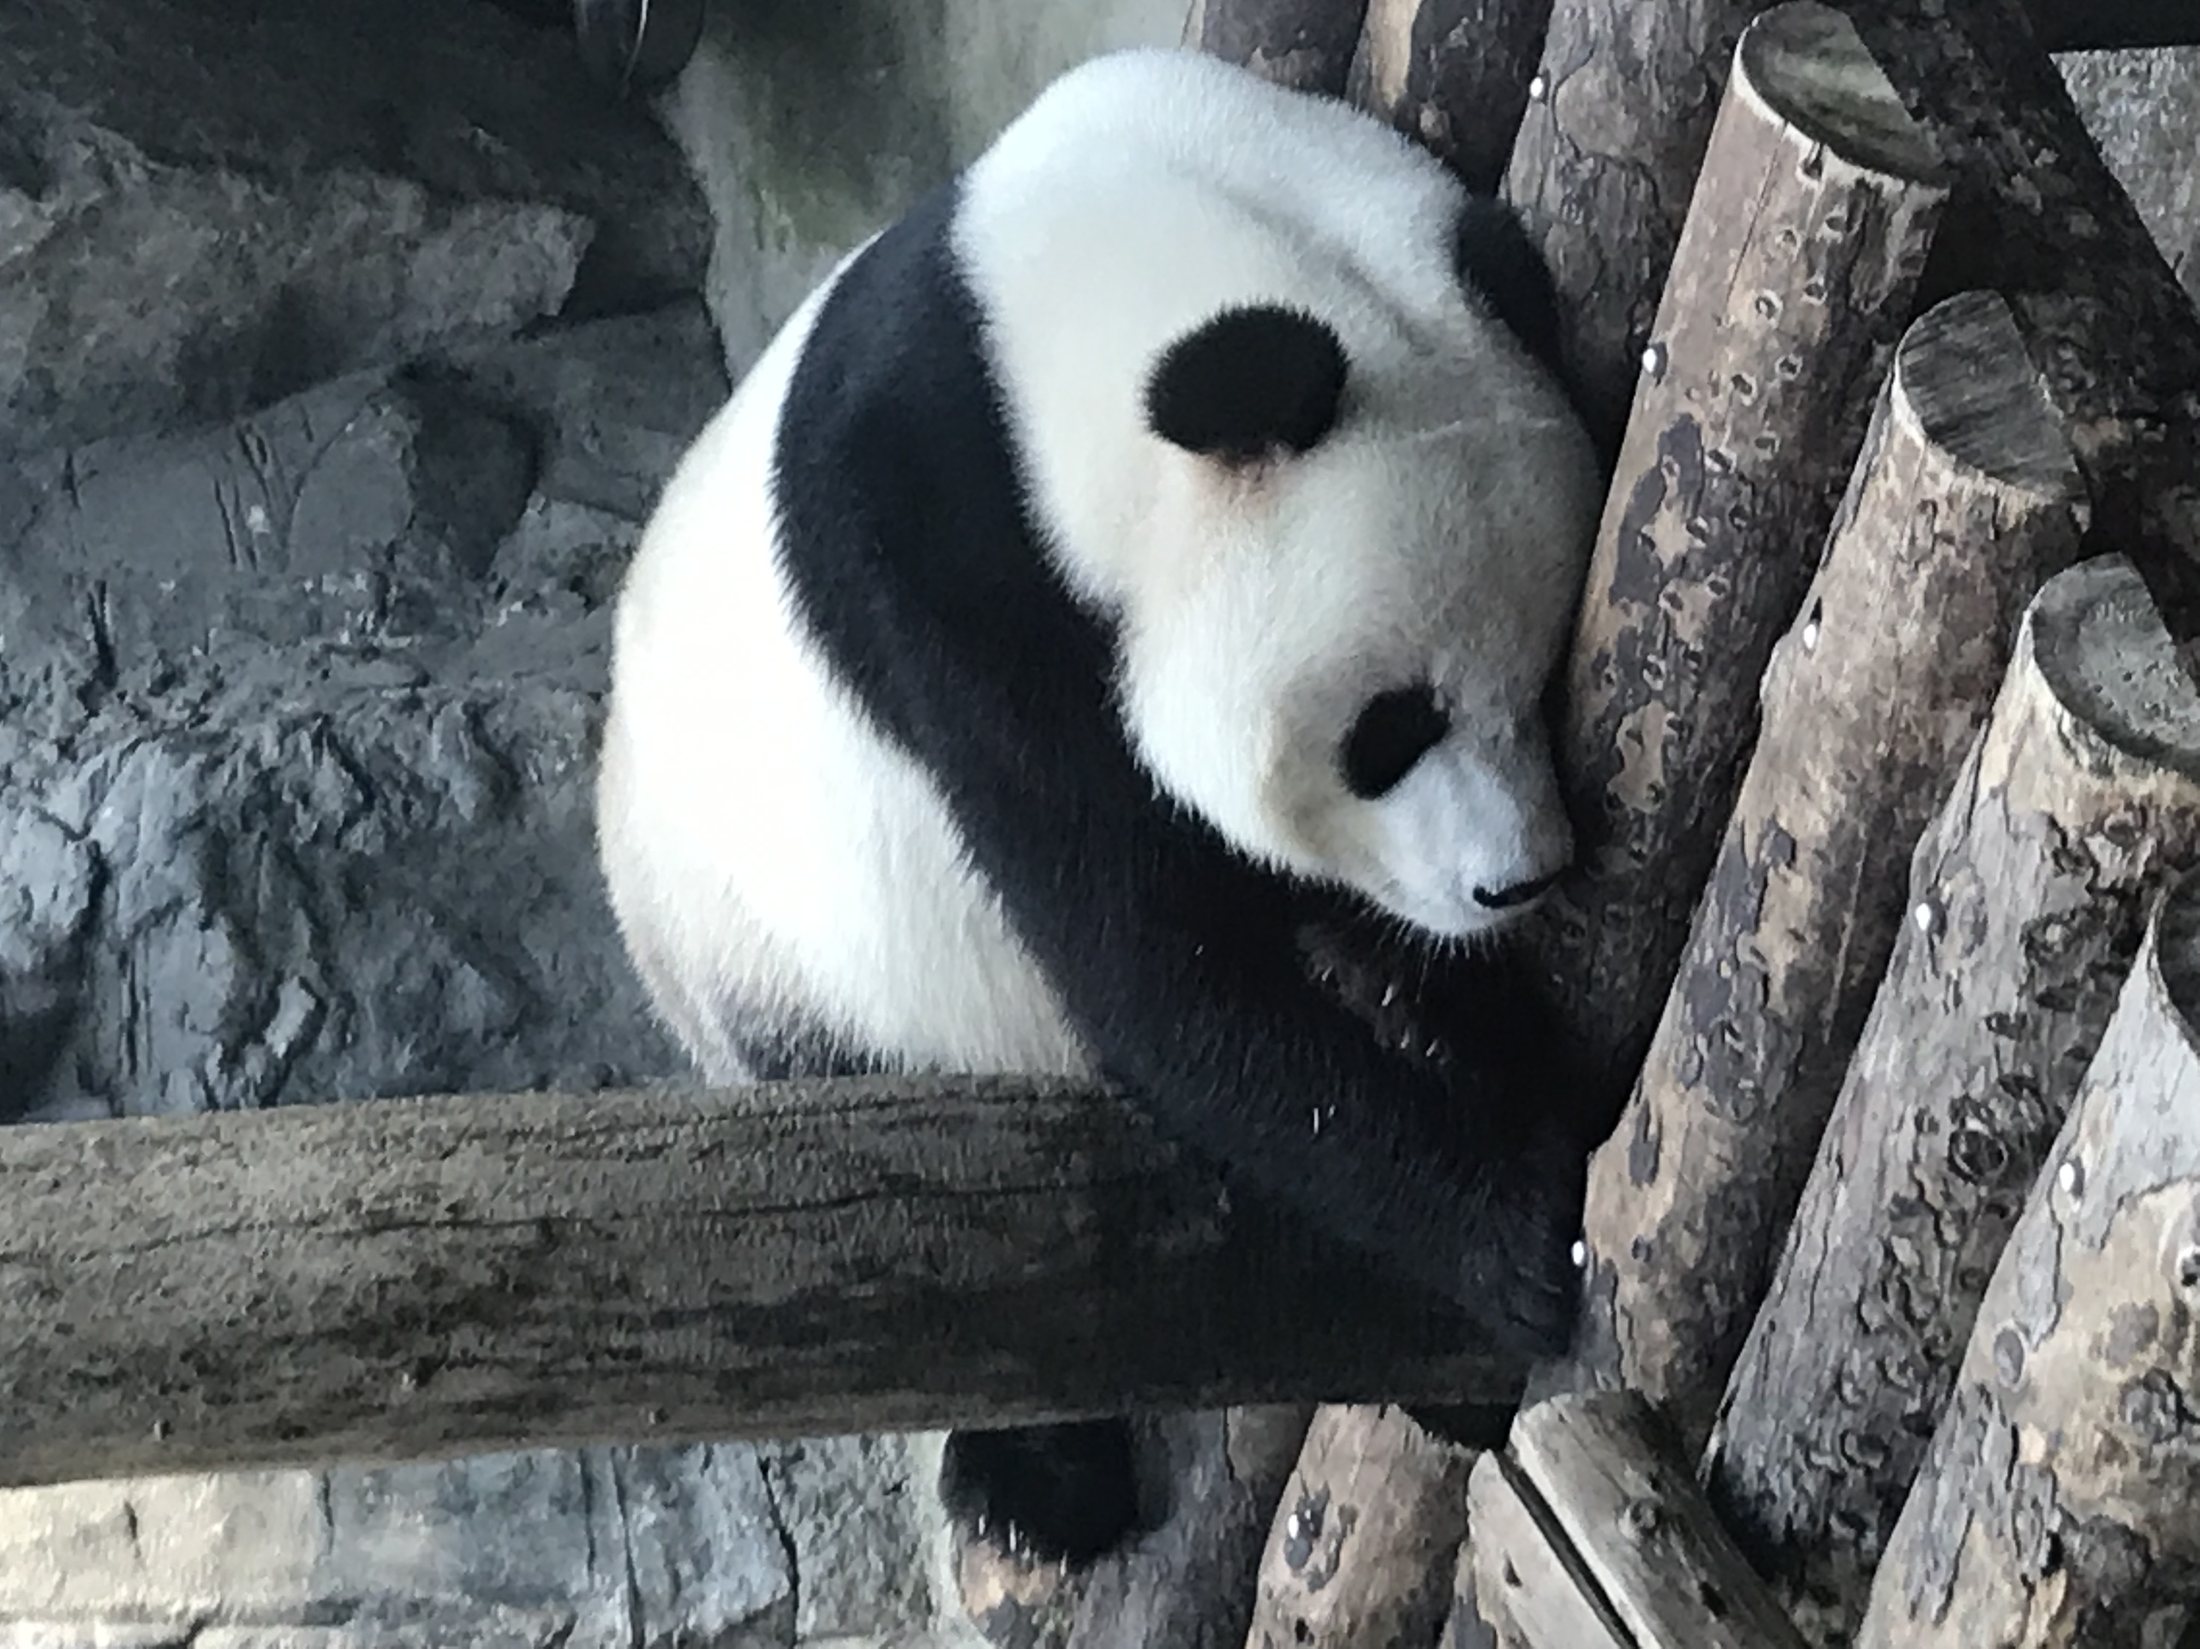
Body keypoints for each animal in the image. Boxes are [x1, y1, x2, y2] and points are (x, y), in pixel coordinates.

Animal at [595, 46, 1604, 1580]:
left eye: (1541, 678)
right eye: (1391, 727)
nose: (1515, 884)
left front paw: (1496, 1055)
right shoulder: (947, 590)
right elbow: (1153, 972)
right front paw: (1514, 1226)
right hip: (781, 961)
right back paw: (1042, 1487)